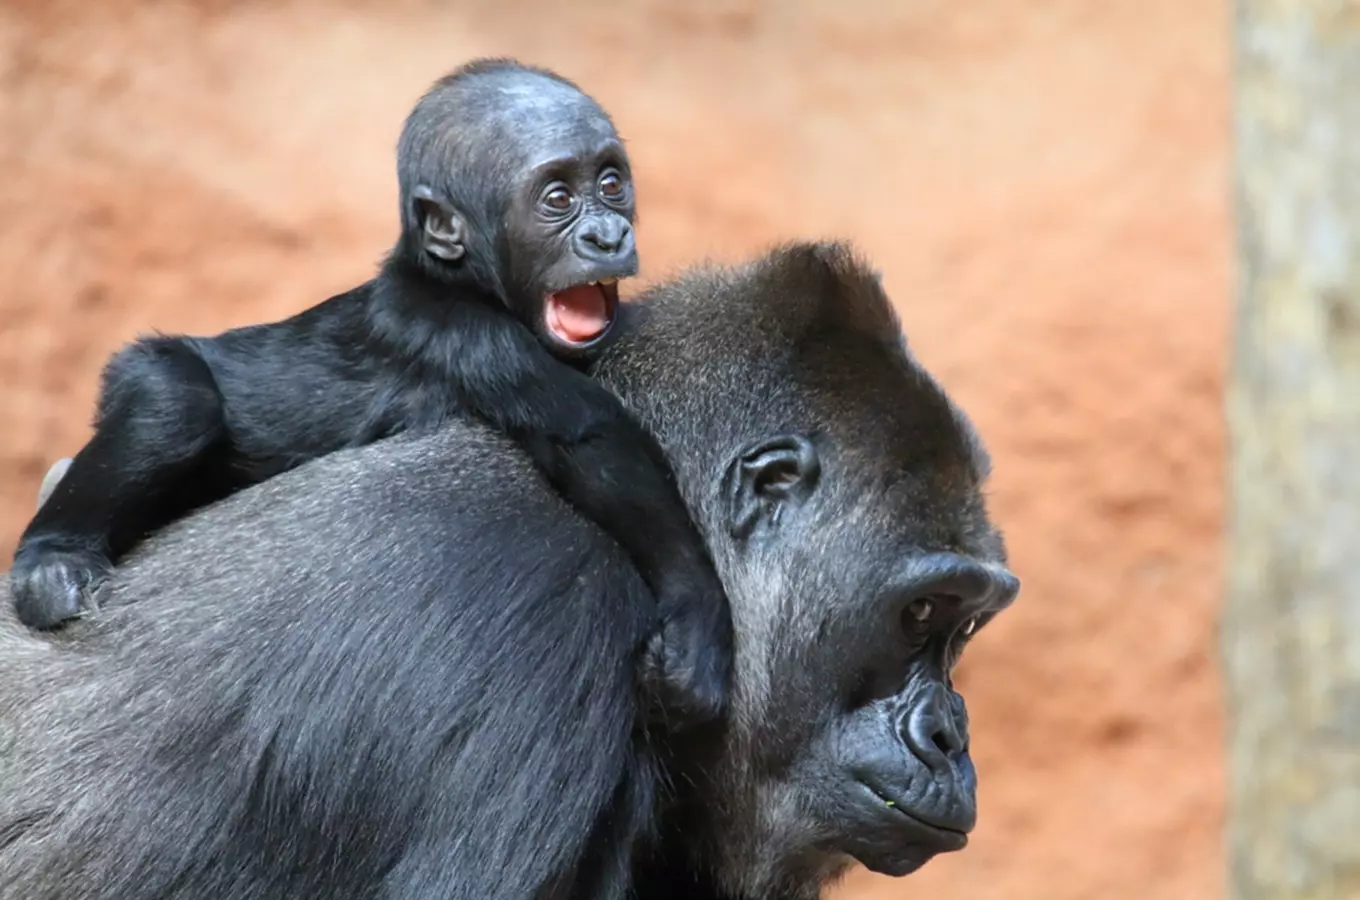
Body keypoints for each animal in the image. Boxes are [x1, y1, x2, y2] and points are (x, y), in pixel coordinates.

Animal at [10, 58, 734, 728]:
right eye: (557, 199)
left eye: (611, 184)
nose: (607, 235)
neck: (456, 278)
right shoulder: (468, 335)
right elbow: (590, 436)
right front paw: (699, 616)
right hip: (138, 368)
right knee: (173, 398)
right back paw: (53, 557)